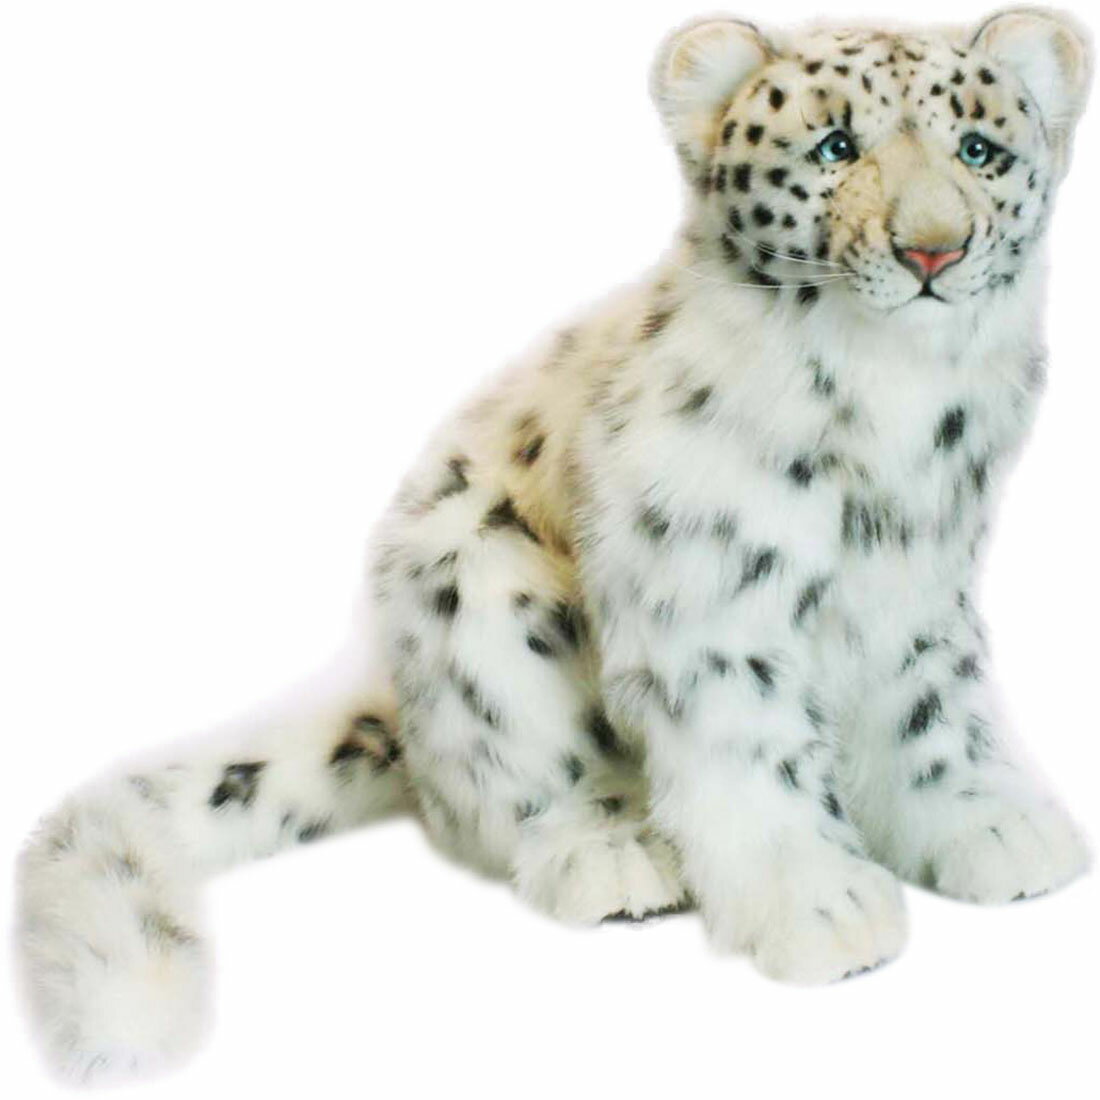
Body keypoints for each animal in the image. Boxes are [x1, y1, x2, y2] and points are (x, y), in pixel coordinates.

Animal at [17, 7, 1093, 1084]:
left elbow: (929, 710)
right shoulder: (708, 598)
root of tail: (406, 713)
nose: (933, 251)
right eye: (835, 146)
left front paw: (987, 823)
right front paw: (817, 901)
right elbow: (751, 746)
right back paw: (609, 852)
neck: (890, 395)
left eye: (979, 149)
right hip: (482, 589)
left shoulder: (918, 575)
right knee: (509, 791)